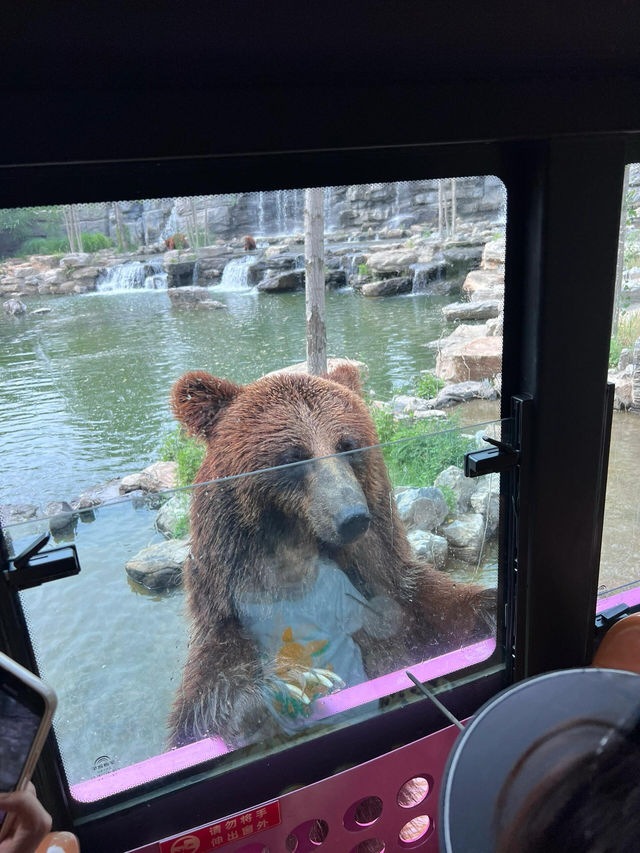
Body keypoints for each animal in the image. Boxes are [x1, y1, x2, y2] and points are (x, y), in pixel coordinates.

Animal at [168, 364, 492, 744]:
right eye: (293, 456)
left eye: (347, 445)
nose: (352, 516)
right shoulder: (230, 611)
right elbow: (207, 690)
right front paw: (280, 690)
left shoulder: (389, 592)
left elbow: (440, 606)